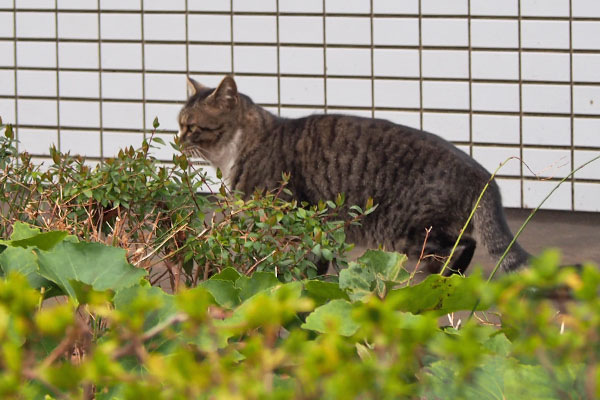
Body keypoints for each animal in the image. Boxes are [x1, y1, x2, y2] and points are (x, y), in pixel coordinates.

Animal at [178, 75, 528, 276]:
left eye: (191, 126)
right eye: (179, 123)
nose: (177, 139)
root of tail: (484, 176)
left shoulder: (295, 216)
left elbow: (302, 259)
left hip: (411, 230)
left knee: (465, 242)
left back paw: (443, 275)